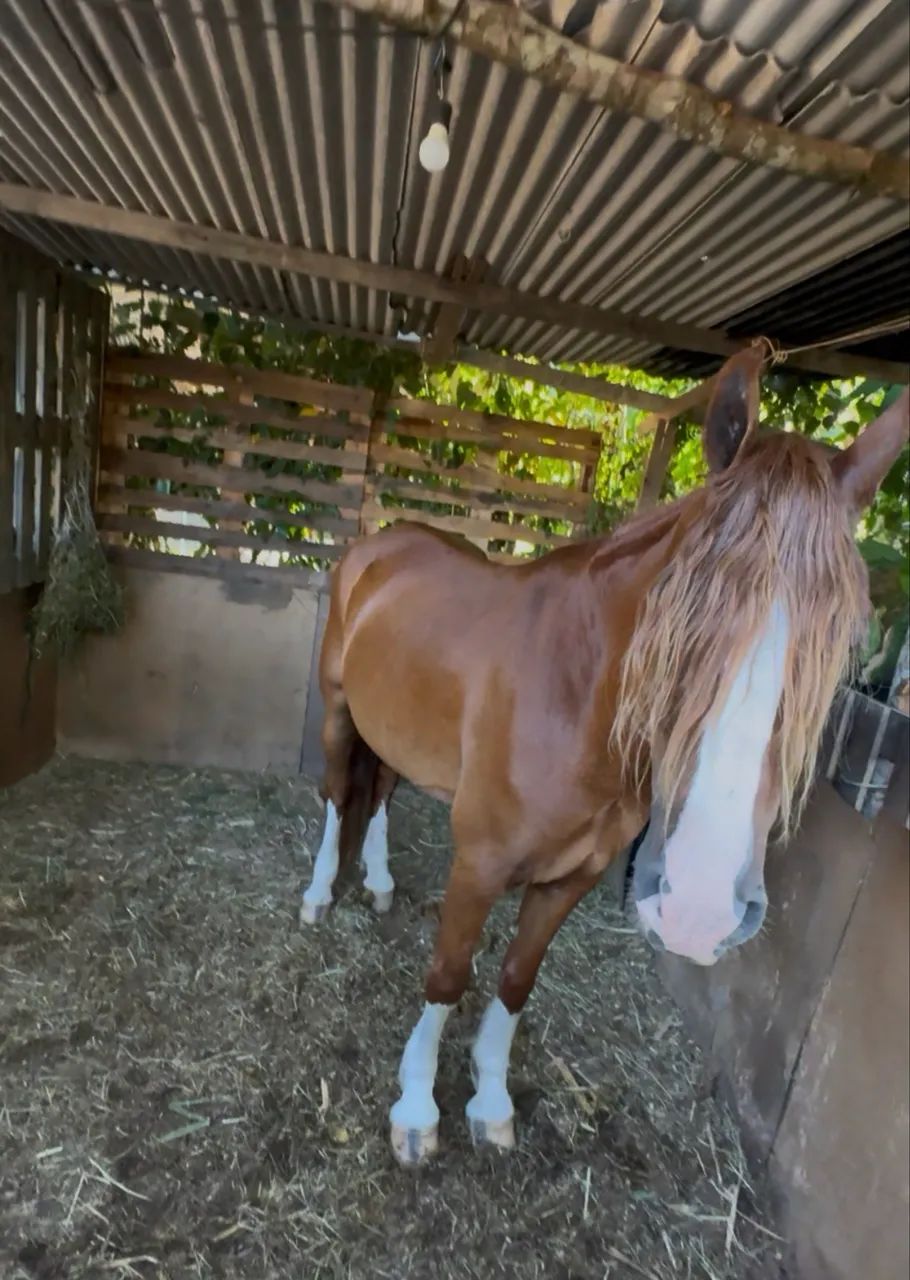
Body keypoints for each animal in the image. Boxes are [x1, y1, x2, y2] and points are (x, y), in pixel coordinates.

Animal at [299, 349, 909, 1165]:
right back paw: (320, 892)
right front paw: (418, 1110)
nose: (697, 907)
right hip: (340, 709)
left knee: (385, 791)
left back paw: (380, 881)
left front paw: (491, 1101)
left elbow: (515, 980)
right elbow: (449, 974)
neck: (573, 697)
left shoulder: (573, 878)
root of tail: (381, 543)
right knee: (341, 793)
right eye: (679, 610)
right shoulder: (480, 863)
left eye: (840, 639)